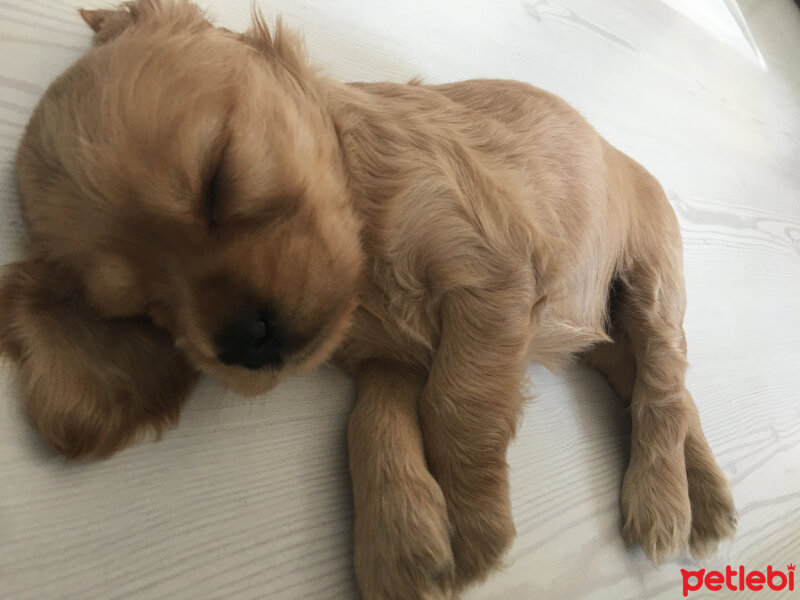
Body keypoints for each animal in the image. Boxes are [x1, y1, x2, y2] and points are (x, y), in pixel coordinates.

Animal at [0, 2, 736, 596]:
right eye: (144, 310)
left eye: (218, 177)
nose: (241, 339)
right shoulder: (388, 357)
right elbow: (370, 424)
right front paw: (399, 539)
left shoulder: (490, 268)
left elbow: (456, 405)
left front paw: (472, 523)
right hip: (604, 335)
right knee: (663, 387)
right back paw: (708, 497)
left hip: (651, 280)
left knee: (664, 387)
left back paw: (664, 502)